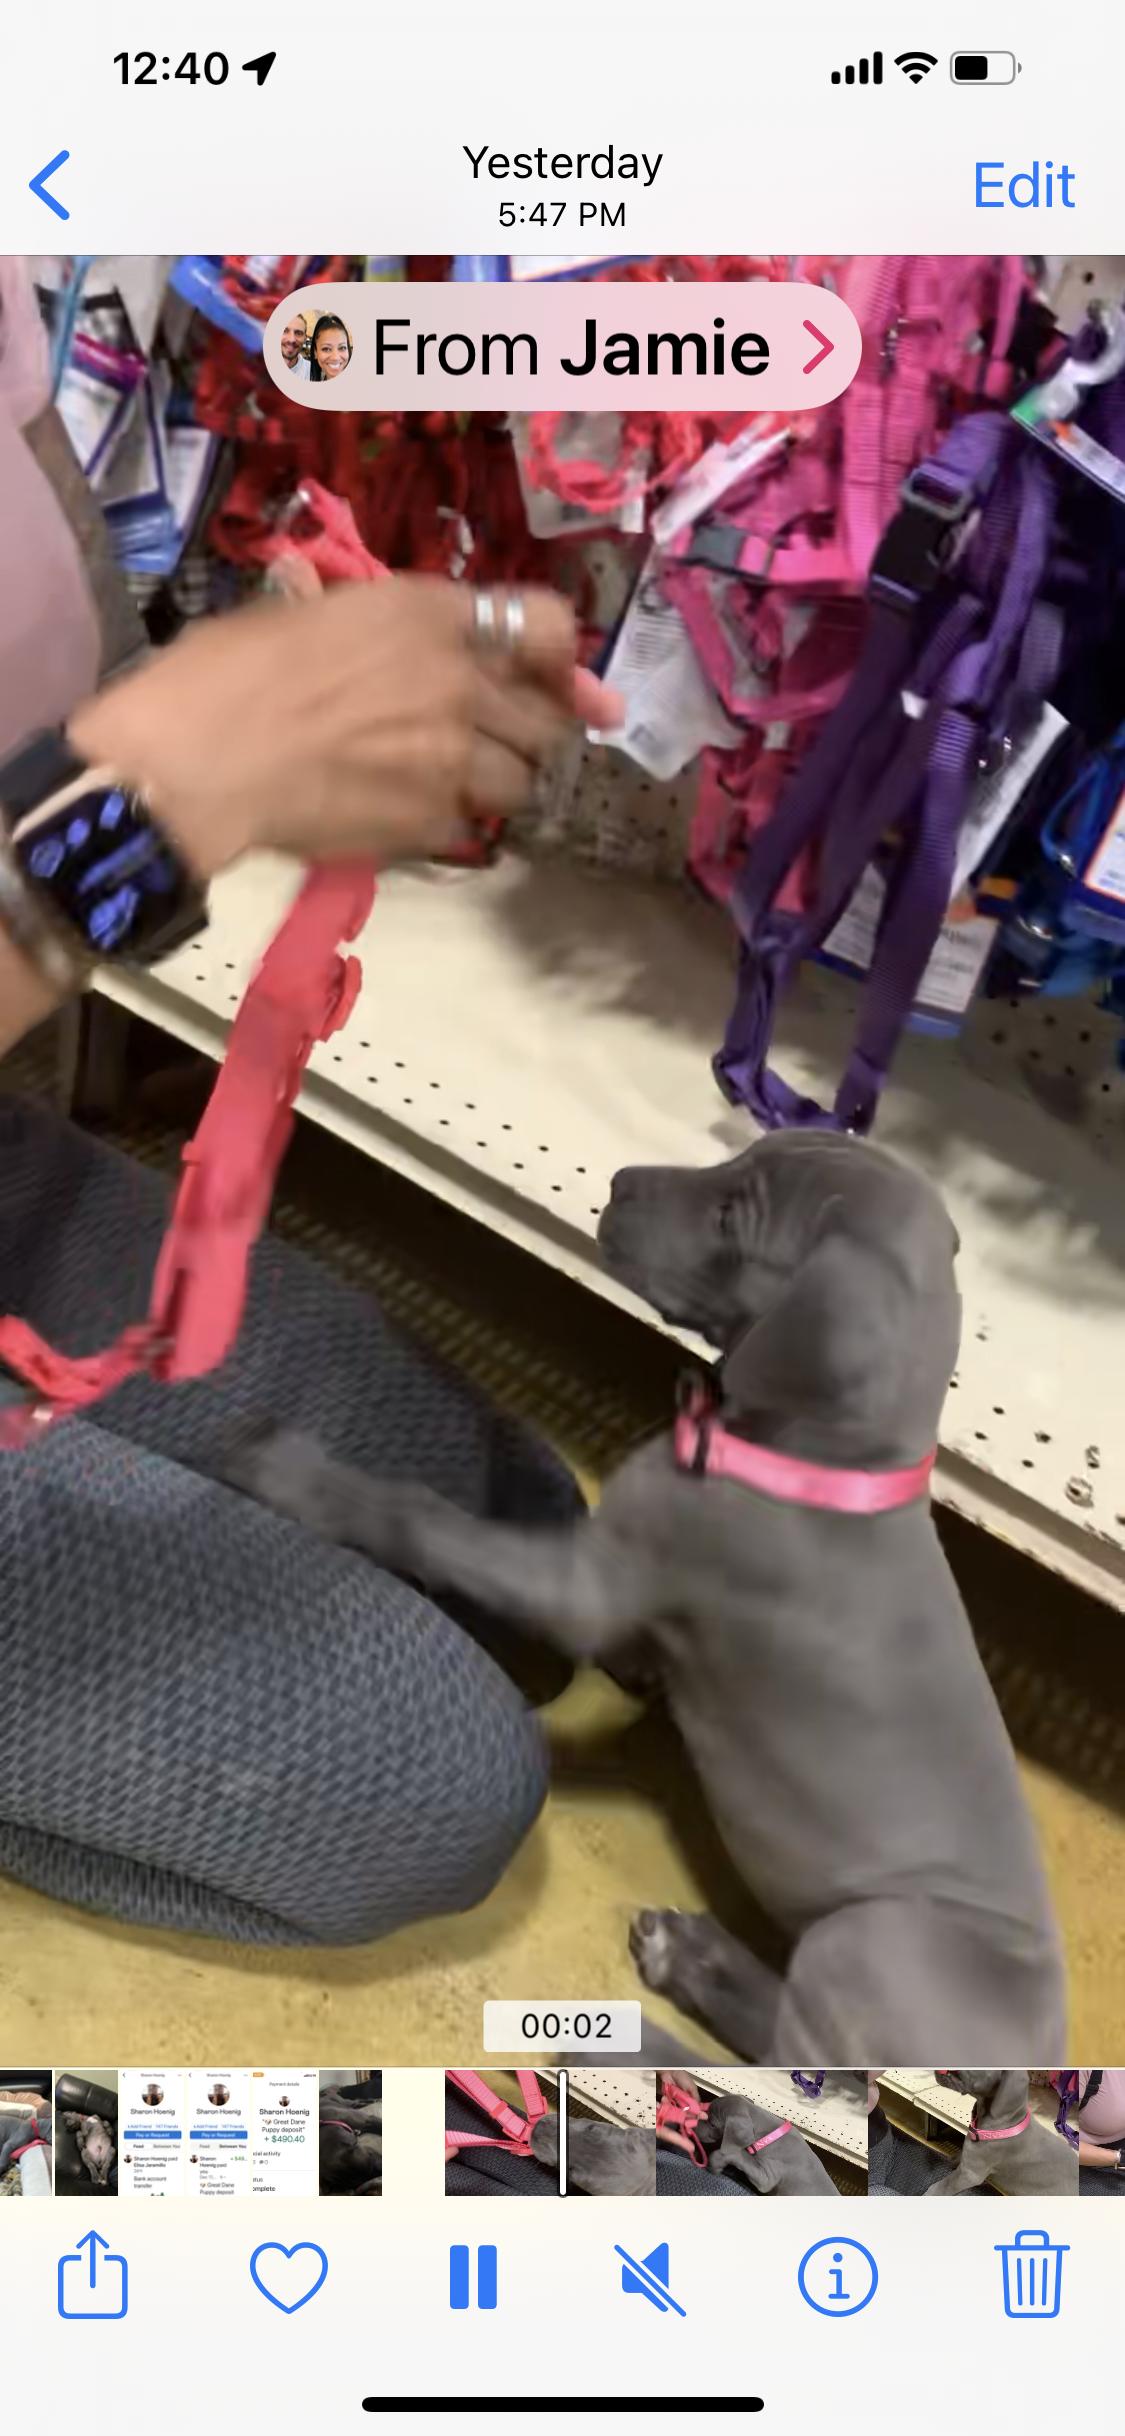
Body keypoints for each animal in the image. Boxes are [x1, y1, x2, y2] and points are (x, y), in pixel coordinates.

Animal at [225, 1132, 1065, 2062]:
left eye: (732, 1215)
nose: (620, 1181)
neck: (821, 1455)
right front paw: (644, 1668)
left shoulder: (580, 1584)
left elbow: (425, 1520)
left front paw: (299, 1478)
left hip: (867, 1946)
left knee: (794, 2073)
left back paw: (641, 2028)